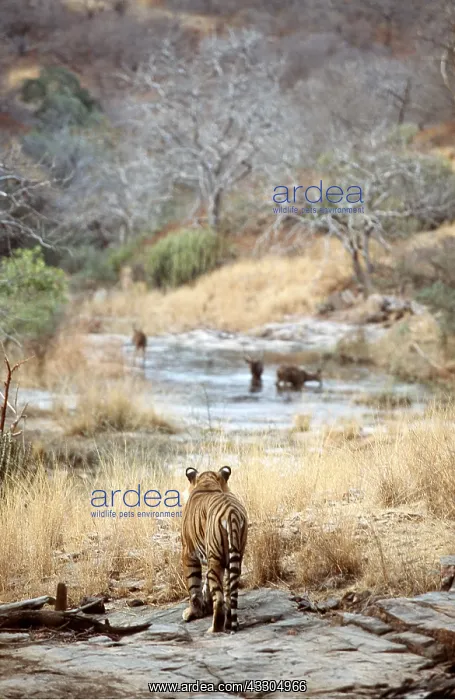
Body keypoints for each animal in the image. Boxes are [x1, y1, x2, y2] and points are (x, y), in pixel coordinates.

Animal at [181, 466, 248, 633]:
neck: (207, 481)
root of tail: (231, 513)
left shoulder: (188, 552)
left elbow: (193, 586)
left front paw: (193, 612)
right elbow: (204, 585)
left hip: (215, 559)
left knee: (219, 596)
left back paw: (214, 629)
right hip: (233, 557)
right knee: (230, 593)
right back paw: (229, 624)